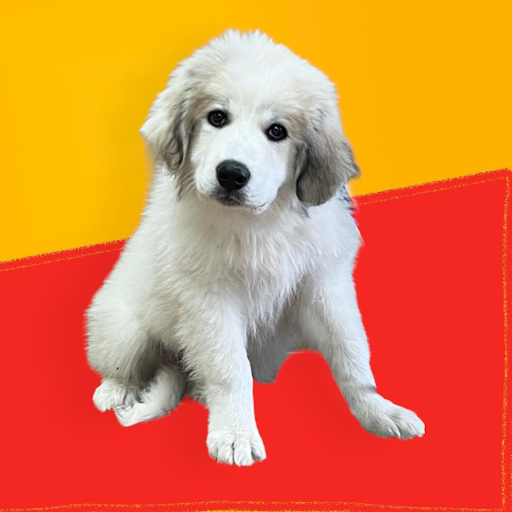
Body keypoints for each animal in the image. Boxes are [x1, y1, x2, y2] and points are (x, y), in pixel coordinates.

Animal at [86, 29, 425, 466]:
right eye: (216, 117)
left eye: (277, 131)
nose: (231, 174)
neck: (257, 224)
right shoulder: (210, 301)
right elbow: (231, 369)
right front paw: (235, 435)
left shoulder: (323, 286)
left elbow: (351, 352)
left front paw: (379, 411)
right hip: (123, 328)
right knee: (120, 363)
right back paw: (117, 390)